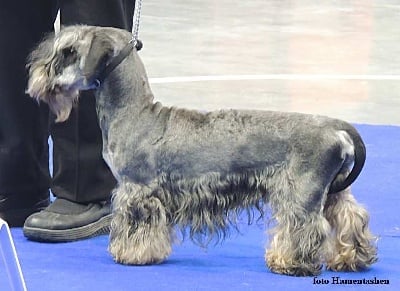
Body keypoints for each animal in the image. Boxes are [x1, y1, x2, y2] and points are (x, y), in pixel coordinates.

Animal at [26, 25, 376, 276]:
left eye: (69, 50)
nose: (36, 75)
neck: (136, 111)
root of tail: (336, 127)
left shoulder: (137, 190)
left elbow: (137, 227)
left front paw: (132, 255)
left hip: (301, 194)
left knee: (304, 227)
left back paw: (288, 262)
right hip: (332, 191)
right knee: (351, 217)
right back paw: (351, 257)